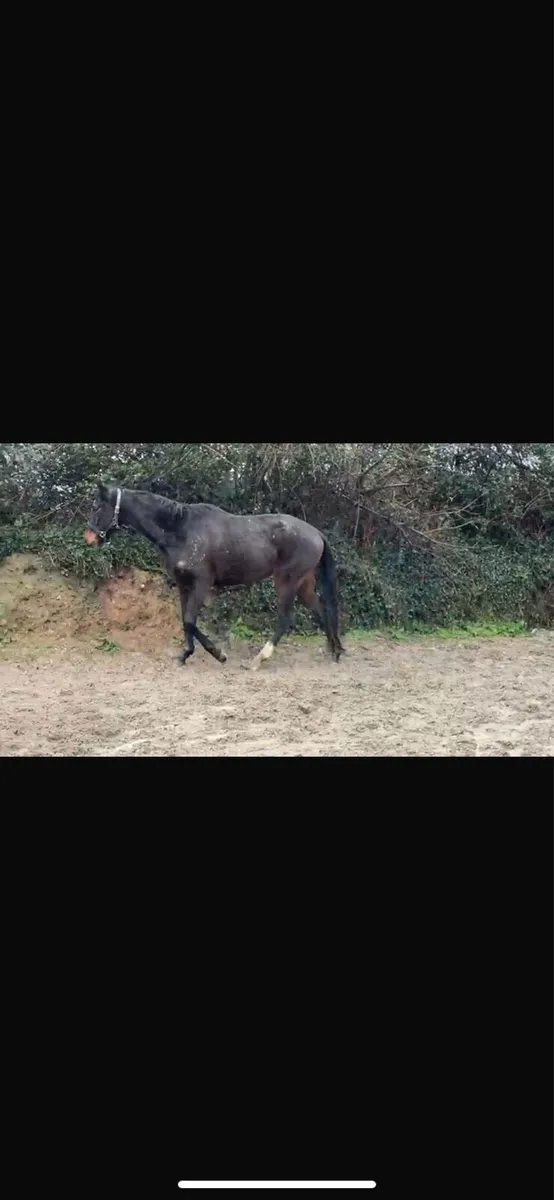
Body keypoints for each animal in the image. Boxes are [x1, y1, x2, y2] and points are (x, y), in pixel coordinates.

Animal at [85, 483, 344, 670]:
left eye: (98, 507)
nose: (89, 537)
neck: (181, 530)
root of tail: (316, 533)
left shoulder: (202, 583)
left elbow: (190, 620)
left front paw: (219, 654)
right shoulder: (183, 584)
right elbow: (185, 620)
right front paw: (184, 655)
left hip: (287, 581)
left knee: (284, 618)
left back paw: (258, 660)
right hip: (304, 583)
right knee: (320, 609)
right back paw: (335, 651)